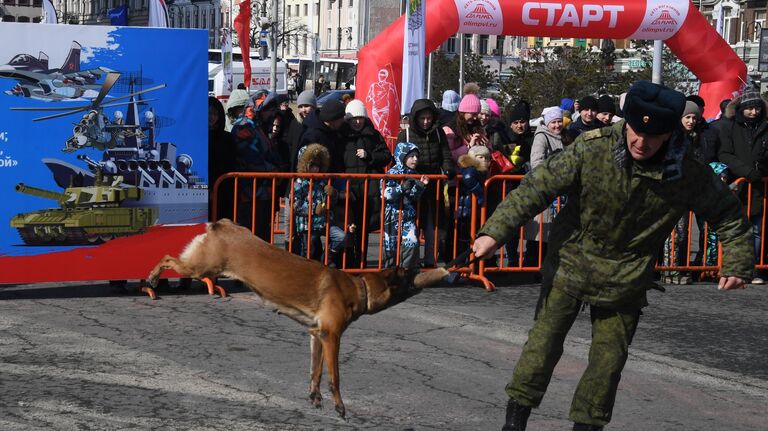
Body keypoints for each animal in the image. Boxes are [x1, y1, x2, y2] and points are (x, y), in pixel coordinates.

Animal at [148, 219, 448, 418]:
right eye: (405, 273)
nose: (420, 268)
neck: (358, 287)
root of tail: (221, 225)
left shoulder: (317, 336)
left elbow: (315, 371)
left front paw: (315, 397)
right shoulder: (332, 337)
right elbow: (334, 377)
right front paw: (339, 406)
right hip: (201, 267)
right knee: (166, 258)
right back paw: (151, 278)